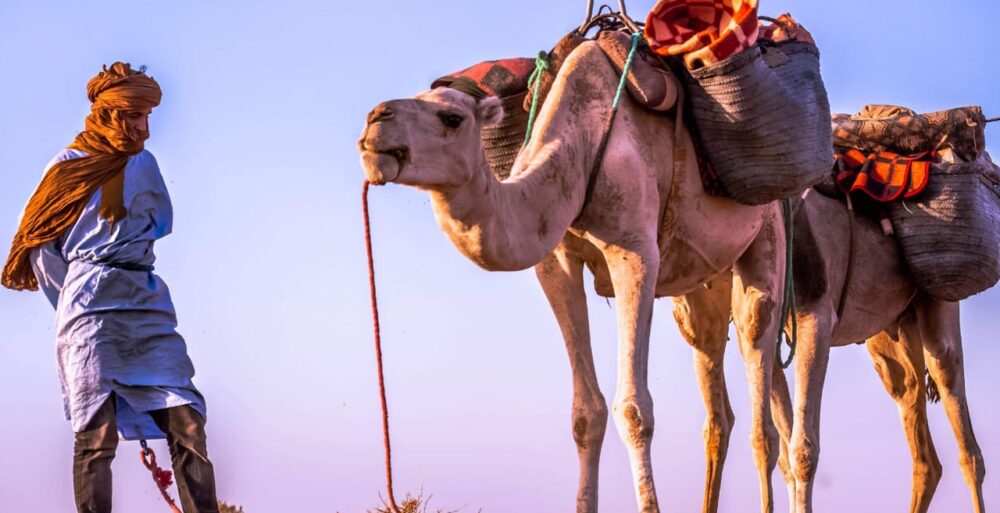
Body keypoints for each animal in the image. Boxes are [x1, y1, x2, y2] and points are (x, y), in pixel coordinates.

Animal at [360, 41, 788, 512]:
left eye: (451, 117)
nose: (376, 118)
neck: (580, 148)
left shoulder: (635, 251)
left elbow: (633, 410)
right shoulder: (557, 262)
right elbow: (586, 413)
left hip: (769, 228)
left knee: (760, 378)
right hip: (702, 281)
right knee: (713, 372)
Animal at [672, 189, 984, 512]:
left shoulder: (815, 315)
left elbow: (801, 450)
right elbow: (775, 443)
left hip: (939, 302)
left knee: (962, 427)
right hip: (892, 332)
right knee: (917, 428)